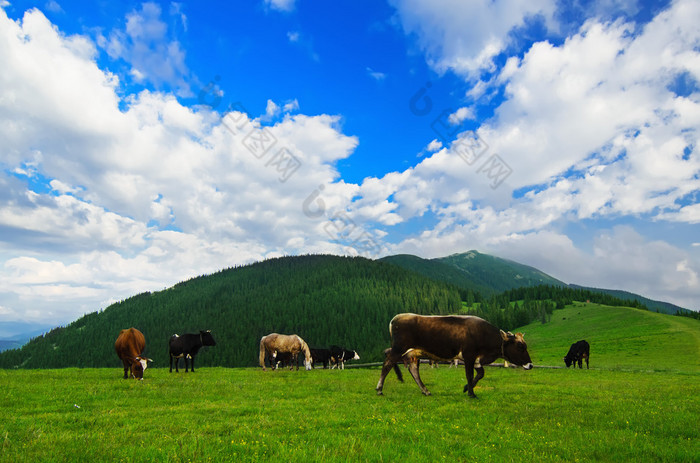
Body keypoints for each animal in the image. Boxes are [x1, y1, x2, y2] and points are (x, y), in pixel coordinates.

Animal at [378, 314, 532, 400]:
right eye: (520, 346)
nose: (530, 365)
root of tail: (396, 318)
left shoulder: (476, 359)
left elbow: (480, 374)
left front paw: (466, 388)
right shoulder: (469, 355)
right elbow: (469, 375)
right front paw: (471, 394)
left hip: (414, 353)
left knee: (413, 369)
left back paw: (425, 391)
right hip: (399, 348)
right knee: (387, 363)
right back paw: (379, 389)